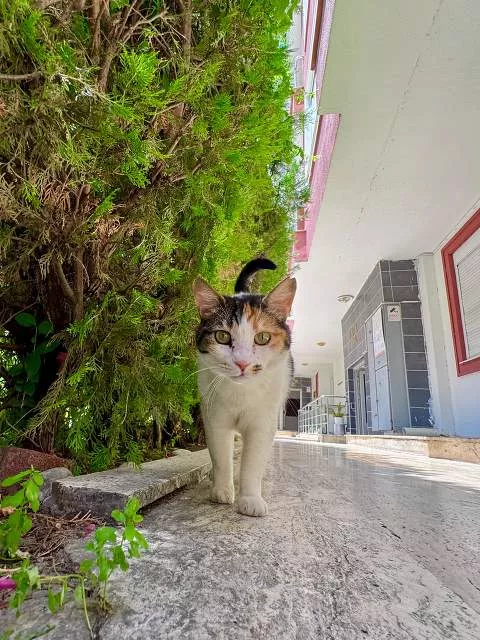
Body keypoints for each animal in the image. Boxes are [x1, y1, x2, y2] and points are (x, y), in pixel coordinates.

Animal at [193, 258, 296, 517]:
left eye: (262, 338)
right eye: (221, 336)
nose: (241, 362)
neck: (240, 394)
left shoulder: (262, 424)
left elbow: (252, 463)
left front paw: (250, 499)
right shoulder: (214, 418)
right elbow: (221, 457)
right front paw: (222, 491)